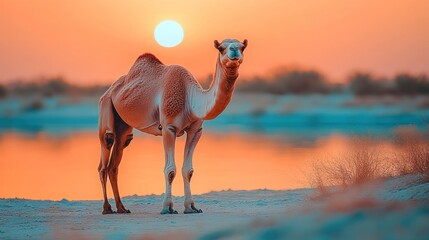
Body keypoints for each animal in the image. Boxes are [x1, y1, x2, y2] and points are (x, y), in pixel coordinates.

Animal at [96, 38, 246, 215]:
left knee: (115, 163)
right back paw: (107, 208)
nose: (234, 50)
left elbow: (188, 170)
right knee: (104, 157)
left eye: (243, 47)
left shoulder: (196, 130)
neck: (191, 98)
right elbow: (170, 170)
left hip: (124, 127)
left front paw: (191, 207)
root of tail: (109, 90)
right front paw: (167, 207)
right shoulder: (169, 128)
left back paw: (121, 208)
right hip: (106, 107)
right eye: (221, 48)